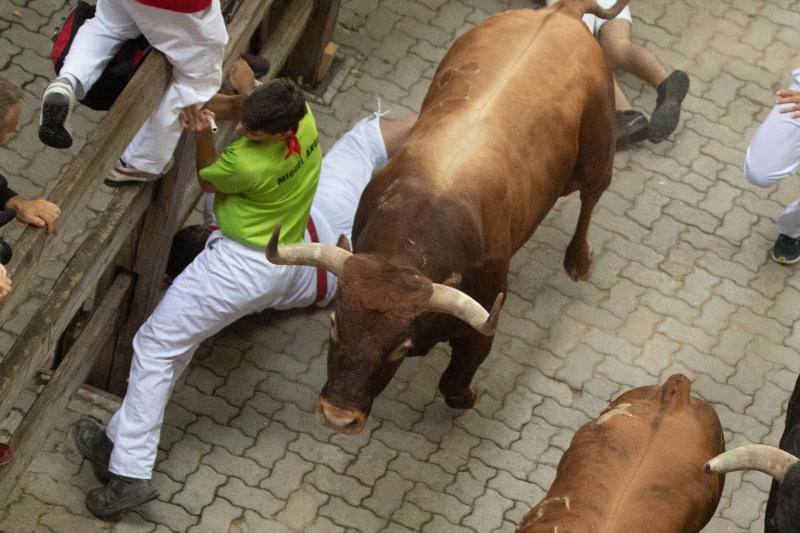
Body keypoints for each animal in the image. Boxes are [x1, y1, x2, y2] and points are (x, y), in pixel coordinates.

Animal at [268, 0, 624, 432]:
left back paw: (577, 260)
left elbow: (453, 383)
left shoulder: (481, 327)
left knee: (591, 196)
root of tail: (563, 13)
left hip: (599, 149)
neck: (423, 214)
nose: (338, 416)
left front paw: (469, 394)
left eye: (398, 347)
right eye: (335, 324)